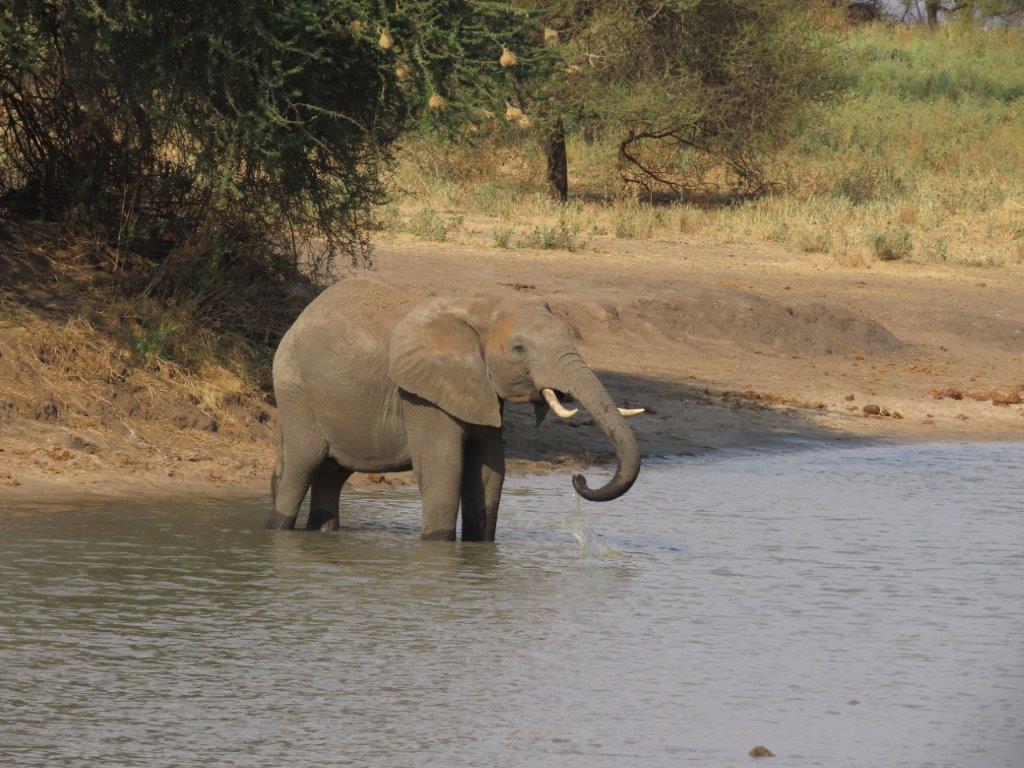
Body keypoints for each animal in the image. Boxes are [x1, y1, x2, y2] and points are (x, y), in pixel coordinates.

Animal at [266, 277, 642, 540]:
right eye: (519, 349)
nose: (579, 477)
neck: (482, 307)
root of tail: (296, 322)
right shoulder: (421, 394)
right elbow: (444, 467)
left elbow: (490, 472)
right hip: (296, 391)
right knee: (303, 464)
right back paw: (278, 529)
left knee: (332, 474)